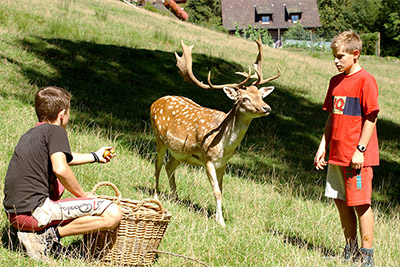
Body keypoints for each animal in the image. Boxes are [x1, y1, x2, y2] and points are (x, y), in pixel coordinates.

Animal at [151, 38, 282, 226]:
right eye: (245, 98)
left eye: (260, 95)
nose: (267, 108)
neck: (224, 145)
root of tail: (155, 102)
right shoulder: (208, 159)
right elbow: (216, 191)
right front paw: (220, 221)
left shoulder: (223, 163)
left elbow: (221, 190)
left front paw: (219, 217)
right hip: (159, 137)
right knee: (158, 164)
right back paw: (156, 196)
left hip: (180, 153)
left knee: (169, 165)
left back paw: (175, 198)